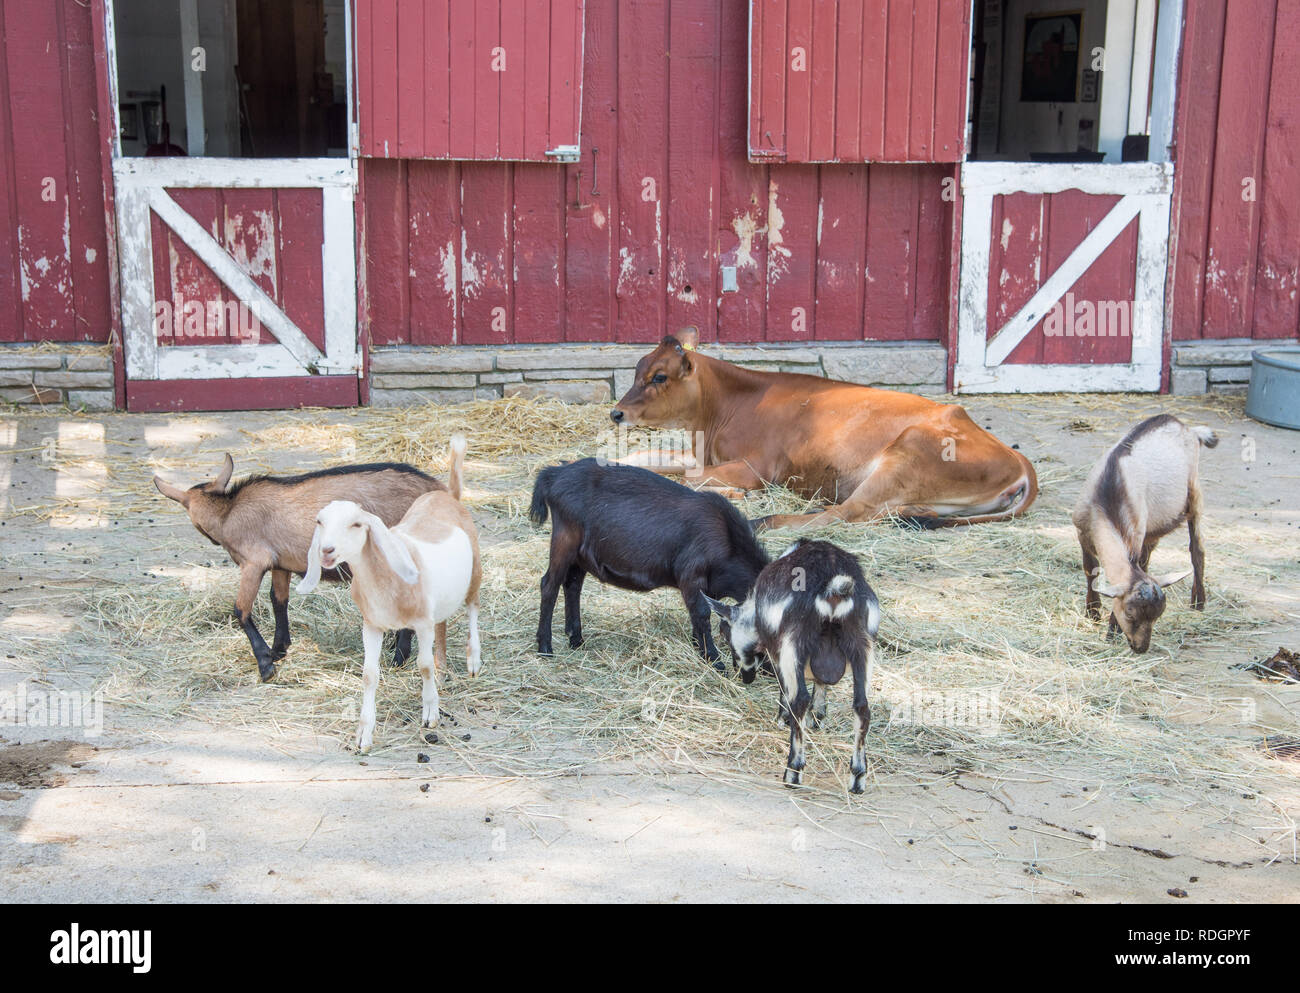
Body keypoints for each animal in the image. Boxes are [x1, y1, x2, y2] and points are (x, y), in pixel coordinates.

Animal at [154, 456, 444, 682]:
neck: (228, 513)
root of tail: (436, 488)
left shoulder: (253, 562)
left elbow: (241, 609)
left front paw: (265, 665)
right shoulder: (280, 563)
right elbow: (278, 600)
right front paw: (278, 650)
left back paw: (398, 657)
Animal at [297, 436, 481, 753]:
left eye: (356, 524)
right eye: (320, 522)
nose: (327, 550)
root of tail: (449, 496)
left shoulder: (421, 623)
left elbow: (422, 666)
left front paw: (430, 714)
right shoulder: (372, 624)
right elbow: (369, 675)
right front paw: (364, 734)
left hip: (475, 571)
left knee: (472, 608)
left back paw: (473, 660)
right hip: (440, 602)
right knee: (444, 624)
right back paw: (443, 668)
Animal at [528, 458, 770, 665]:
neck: (729, 539)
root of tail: (553, 473)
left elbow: (697, 615)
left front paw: (699, 647)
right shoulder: (692, 576)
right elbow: (701, 613)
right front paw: (714, 660)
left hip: (581, 555)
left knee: (572, 585)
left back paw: (576, 639)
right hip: (565, 540)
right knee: (549, 585)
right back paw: (545, 647)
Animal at [706, 539, 879, 793]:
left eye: (726, 634)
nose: (743, 675)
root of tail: (833, 589)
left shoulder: (779, 654)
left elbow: (785, 690)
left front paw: (782, 718)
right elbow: (820, 685)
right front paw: (818, 719)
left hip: (794, 644)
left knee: (800, 701)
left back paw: (793, 772)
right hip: (862, 645)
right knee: (862, 707)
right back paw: (857, 778)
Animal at [1072, 414, 1217, 653]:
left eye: (1157, 617)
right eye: (1131, 613)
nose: (1141, 648)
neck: (1108, 499)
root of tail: (1189, 428)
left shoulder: (1135, 537)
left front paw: (1111, 633)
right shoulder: (1082, 532)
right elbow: (1090, 570)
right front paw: (1092, 613)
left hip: (1195, 494)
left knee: (1197, 549)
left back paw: (1199, 602)